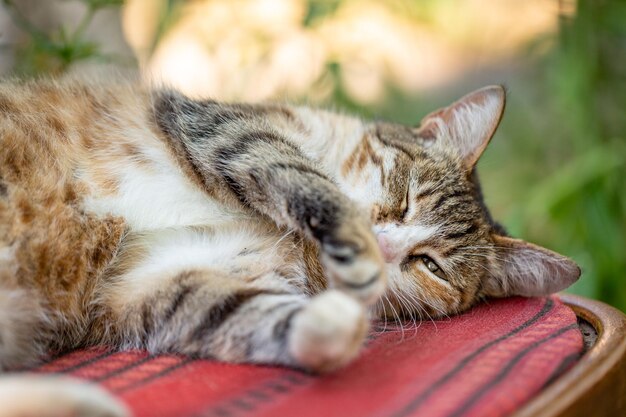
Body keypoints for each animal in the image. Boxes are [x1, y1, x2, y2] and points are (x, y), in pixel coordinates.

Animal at [0, 76, 576, 414]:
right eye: (405, 196)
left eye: (431, 264)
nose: (385, 246)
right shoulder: (223, 127)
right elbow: (300, 170)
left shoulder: (160, 281)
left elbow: (246, 312)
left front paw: (339, 320)